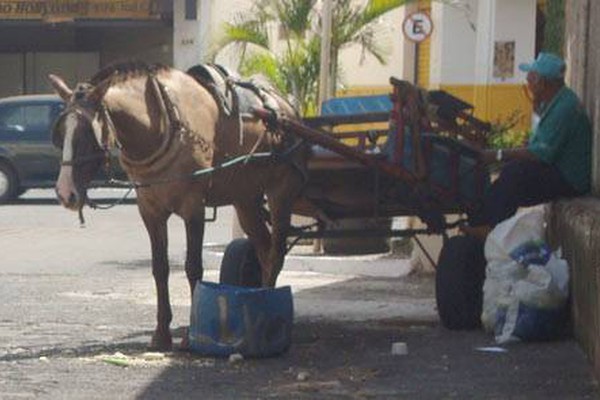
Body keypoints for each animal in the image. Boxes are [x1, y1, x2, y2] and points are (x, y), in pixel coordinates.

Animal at [48, 61, 308, 350]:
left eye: (87, 133)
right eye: (61, 132)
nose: (65, 192)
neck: (164, 123)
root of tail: (288, 109)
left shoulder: (193, 208)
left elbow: (193, 266)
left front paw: (189, 335)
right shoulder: (150, 211)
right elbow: (159, 268)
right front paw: (161, 333)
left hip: (280, 193)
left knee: (275, 253)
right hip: (246, 199)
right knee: (262, 248)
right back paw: (260, 300)